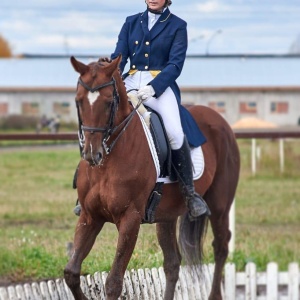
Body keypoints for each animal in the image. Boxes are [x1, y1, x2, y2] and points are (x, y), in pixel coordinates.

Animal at [64, 54, 240, 300]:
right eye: (78, 100)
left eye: (108, 102)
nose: (92, 154)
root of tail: (219, 119)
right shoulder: (90, 216)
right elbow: (71, 273)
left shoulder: (130, 219)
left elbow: (114, 282)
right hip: (166, 216)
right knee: (173, 264)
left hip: (220, 204)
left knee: (221, 246)